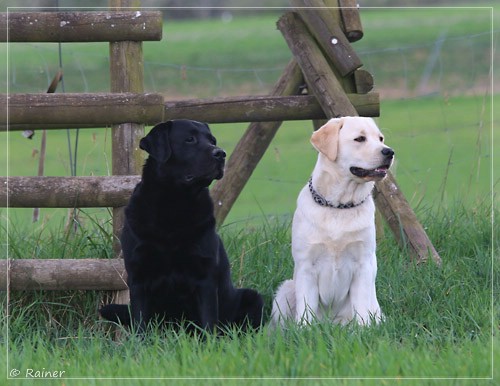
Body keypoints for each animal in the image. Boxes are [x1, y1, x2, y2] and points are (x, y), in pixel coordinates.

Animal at [101, 120, 266, 332]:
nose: (221, 153)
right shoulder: (138, 275)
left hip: (252, 297)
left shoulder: (205, 276)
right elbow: (140, 322)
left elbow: (208, 321)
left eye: (212, 140)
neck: (174, 206)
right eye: (189, 139)